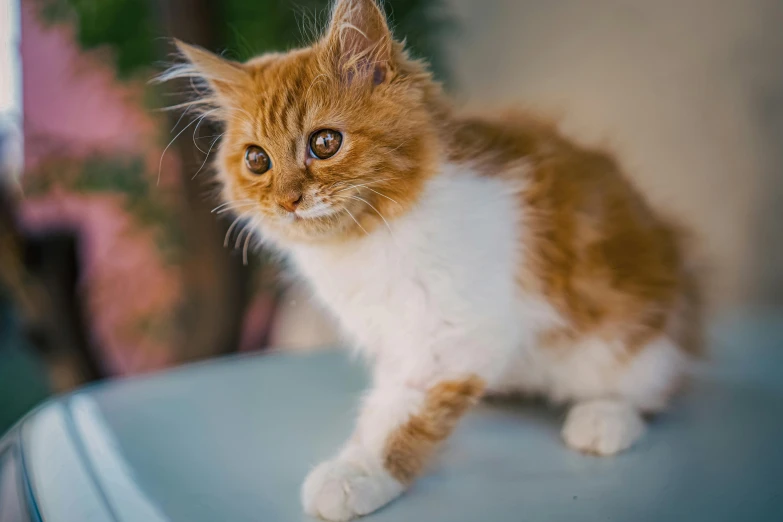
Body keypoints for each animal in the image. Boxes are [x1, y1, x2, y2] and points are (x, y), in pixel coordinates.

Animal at [167, 0, 704, 516]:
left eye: (324, 143)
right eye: (257, 160)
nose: (287, 201)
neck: (362, 243)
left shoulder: (455, 333)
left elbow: (401, 417)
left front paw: (357, 475)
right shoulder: (396, 336)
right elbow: (386, 402)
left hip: (623, 336)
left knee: (656, 381)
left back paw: (606, 417)